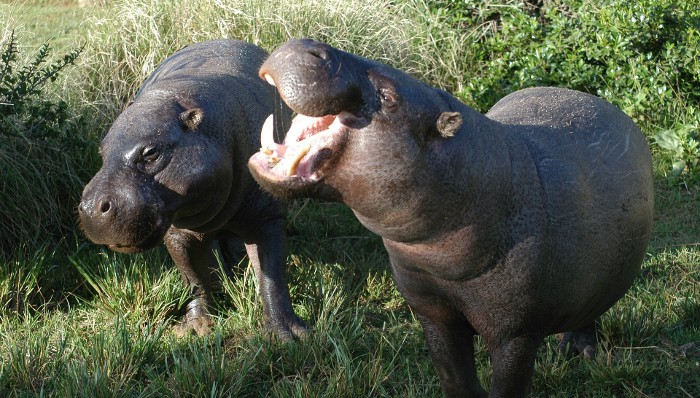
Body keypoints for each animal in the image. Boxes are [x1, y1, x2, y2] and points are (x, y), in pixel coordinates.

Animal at [79, 38, 306, 340]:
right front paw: (195, 329)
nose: (92, 207)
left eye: (151, 152)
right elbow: (194, 278)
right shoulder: (177, 231)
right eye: (102, 152)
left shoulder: (268, 217)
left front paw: (287, 335)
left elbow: (272, 277)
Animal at [249, 38, 652, 398]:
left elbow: (508, 387)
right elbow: (454, 379)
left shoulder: (517, 332)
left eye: (390, 96)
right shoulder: (432, 312)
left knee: (592, 309)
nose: (306, 45)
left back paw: (580, 353)